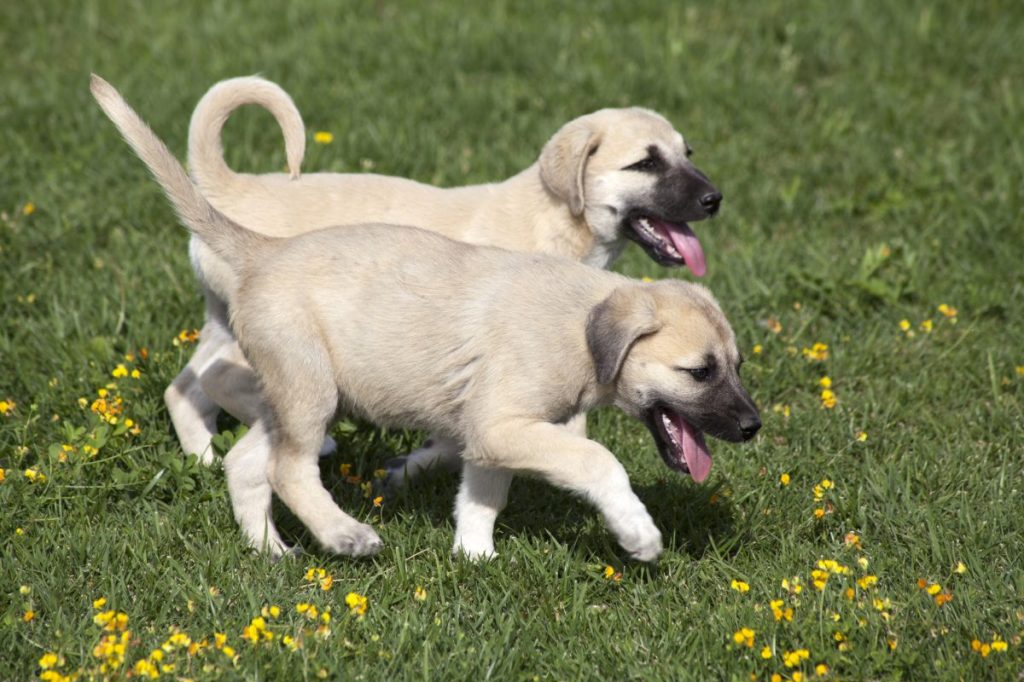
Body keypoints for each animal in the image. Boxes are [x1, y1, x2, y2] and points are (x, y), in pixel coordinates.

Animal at [172, 74, 724, 471]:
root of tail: (230, 188)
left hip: (222, 319)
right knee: (221, 381)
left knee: (184, 387)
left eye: (687, 154)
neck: (552, 220)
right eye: (646, 164)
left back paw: (204, 458)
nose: (714, 199)